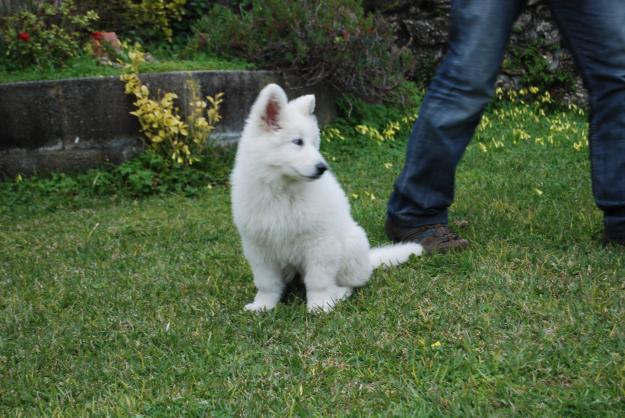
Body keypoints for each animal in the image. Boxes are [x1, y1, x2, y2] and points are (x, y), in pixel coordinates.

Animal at [232, 83, 422, 312]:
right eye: (297, 142)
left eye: (314, 144)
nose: (322, 168)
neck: (283, 190)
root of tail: (368, 260)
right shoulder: (258, 247)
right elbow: (266, 283)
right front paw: (263, 305)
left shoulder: (320, 243)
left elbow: (318, 280)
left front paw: (320, 305)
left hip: (350, 247)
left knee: (352, 283)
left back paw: (340, 293)